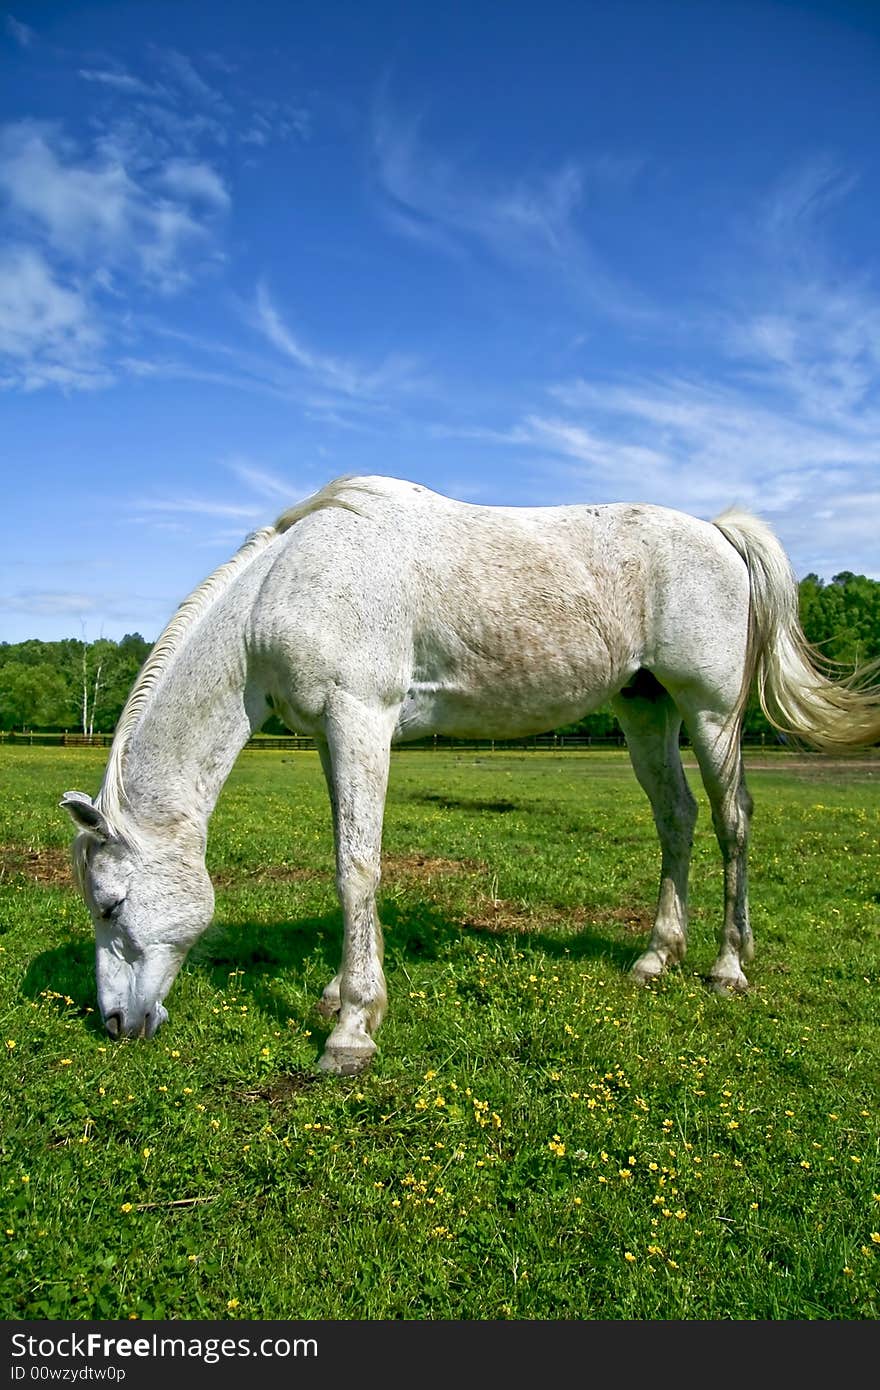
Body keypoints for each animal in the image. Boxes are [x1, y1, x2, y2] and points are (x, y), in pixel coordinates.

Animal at [61, 478, 878, 1073]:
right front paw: (343, 994)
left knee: (732, 820)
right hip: (645, 710)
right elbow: (351, 862)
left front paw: (351, 1032)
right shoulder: (333, 737)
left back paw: (728, 966)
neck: (282, 592)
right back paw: (654, 958)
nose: (116, 1023)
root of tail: (717, 531)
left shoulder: (360, 719)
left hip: (710, 713)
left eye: (109, 904)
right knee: (676, 819)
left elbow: (356, 868)